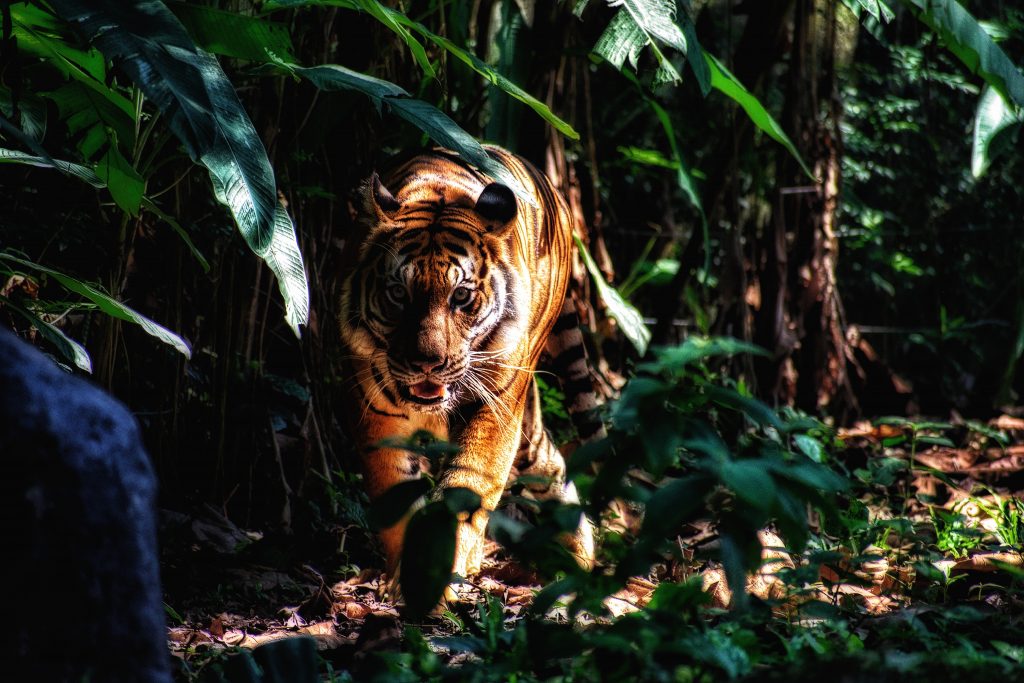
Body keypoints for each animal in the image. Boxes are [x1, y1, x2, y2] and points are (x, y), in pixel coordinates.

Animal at [338, 146, 603, 590]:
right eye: (398, 293)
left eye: (460, 296)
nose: (428, 363)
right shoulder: (376, 419)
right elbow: (396, 496)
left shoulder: (495, 411)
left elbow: (467, 488)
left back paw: (579, 560)